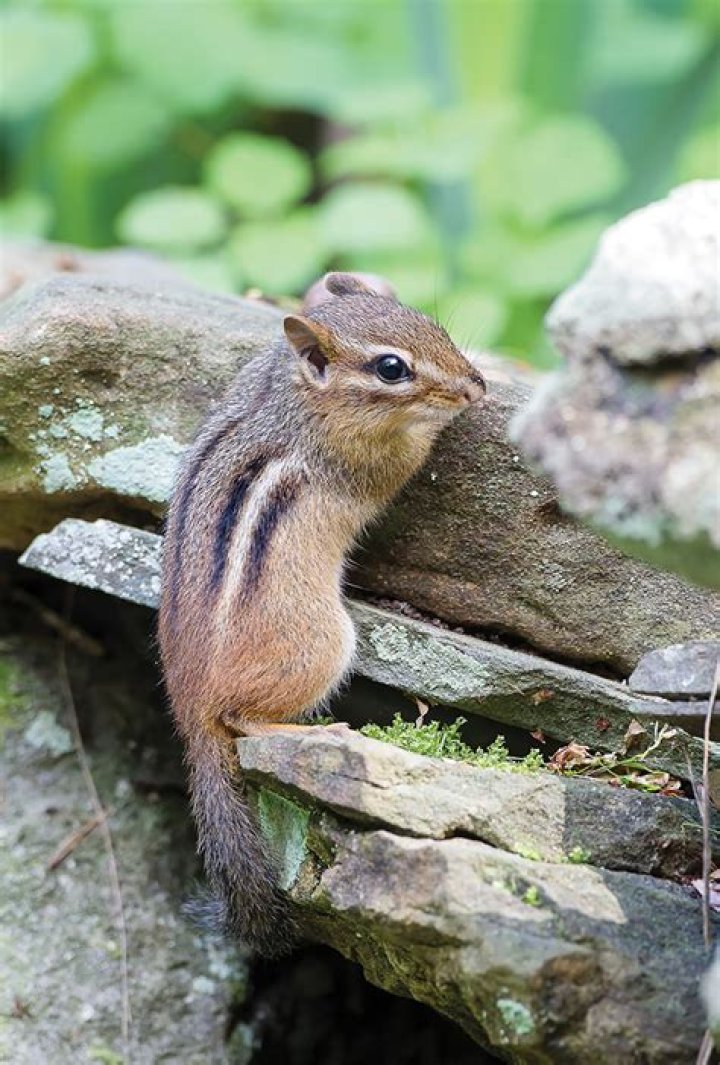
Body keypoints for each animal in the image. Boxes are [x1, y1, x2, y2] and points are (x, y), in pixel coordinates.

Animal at [158, 272, 486, 957]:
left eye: (433, 325)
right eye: (391, 368)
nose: (476, 386)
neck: (296, 395)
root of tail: (189, 710)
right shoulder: (363, 465)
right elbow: (404, 461)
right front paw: (441, 422)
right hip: (323, 645)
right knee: (243, 723)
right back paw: (323, 733)